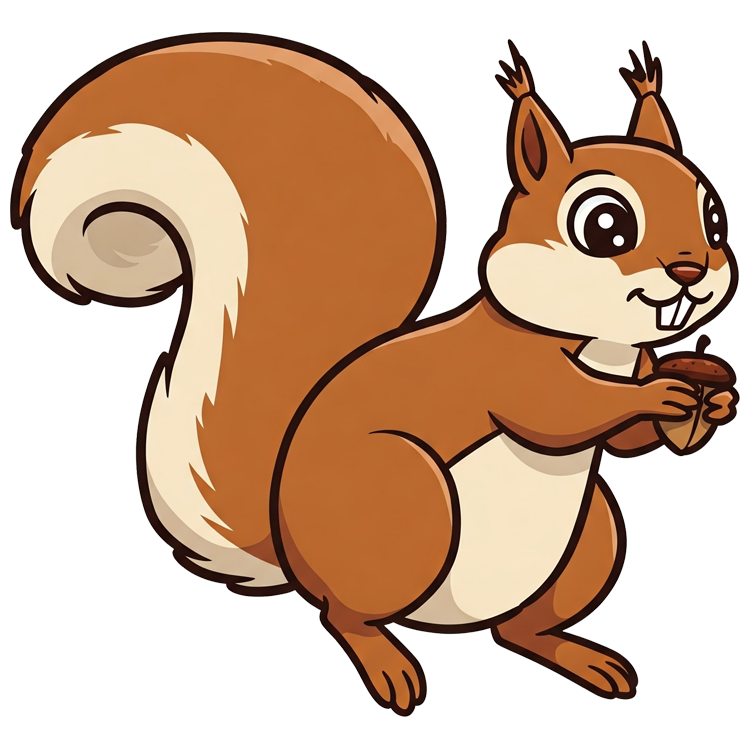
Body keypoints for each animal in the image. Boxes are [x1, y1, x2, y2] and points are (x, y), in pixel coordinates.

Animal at [12, 36, 738, 714]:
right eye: (605, 225)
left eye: (714, 219)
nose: (691, 272)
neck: (600, 345)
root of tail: (290, 554)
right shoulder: (505, 371)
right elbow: (559, 412)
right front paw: (661, 395)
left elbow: (620, 443)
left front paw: (710, 404)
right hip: (406, 506)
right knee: (344, 614)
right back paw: (387, 665)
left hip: (593, 538)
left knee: (517, 632)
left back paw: (579, 657)